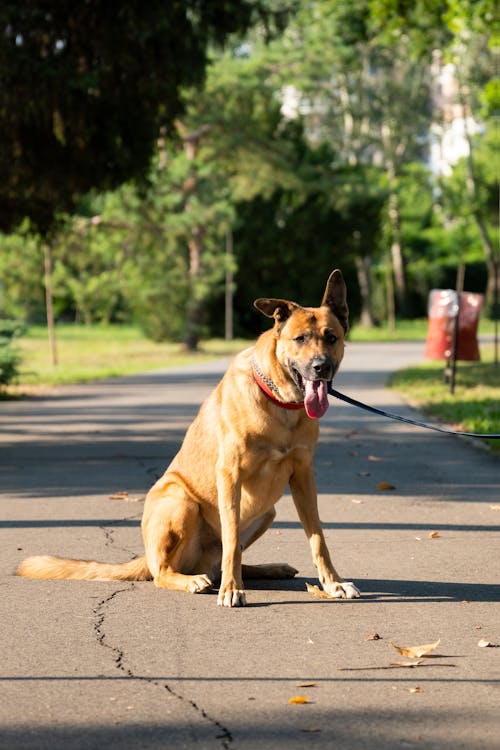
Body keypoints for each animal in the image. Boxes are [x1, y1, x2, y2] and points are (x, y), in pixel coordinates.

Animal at [16, 270, 360, 604]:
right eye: (300, 339)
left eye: (331, 338)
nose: (321, 367)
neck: (280, 402)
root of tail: (148, 557)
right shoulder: (230, 474)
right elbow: (232, 538)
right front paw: (232, 590)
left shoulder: (303, 475)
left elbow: (317, 537)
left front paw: (333, 583)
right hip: (181, 501)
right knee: (167, 572)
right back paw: (196, 580)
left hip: (267, 512)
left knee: (224, 559)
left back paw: (266, 569)